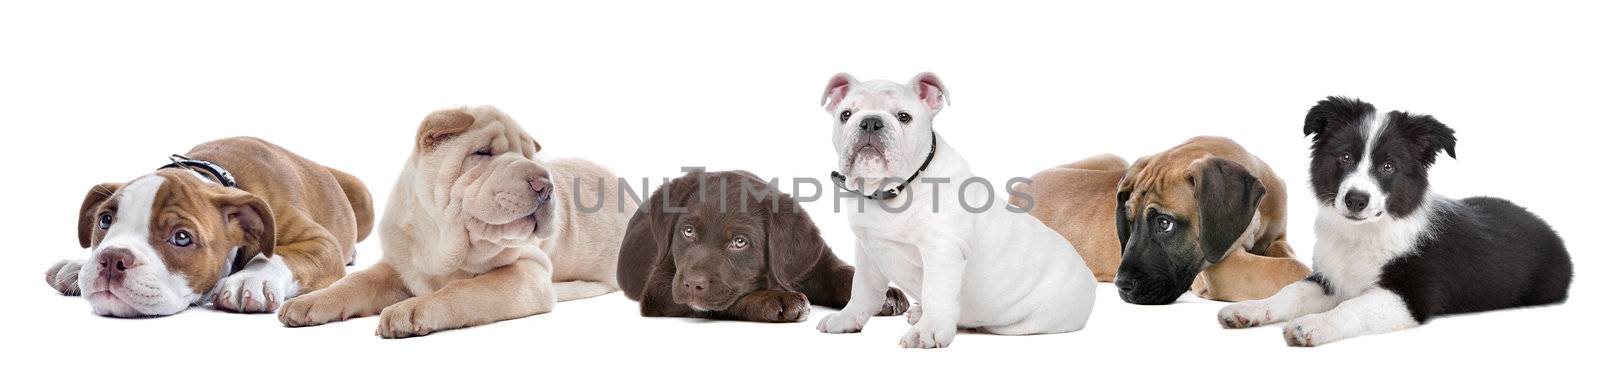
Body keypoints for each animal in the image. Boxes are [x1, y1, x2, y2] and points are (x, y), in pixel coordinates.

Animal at [46, 136, 374, 315]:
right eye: (104, 220)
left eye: (181, 238)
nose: (113, 258)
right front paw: (77, 266)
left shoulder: (321, 242)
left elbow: (278, 256)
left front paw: (251, 279)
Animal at [278, 105, 633, 337]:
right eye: (483, 153)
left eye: (531, 158)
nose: (544, 185)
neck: (444, 242)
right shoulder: (395, 266)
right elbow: (355, 282)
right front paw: (308, 302)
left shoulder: (527, 271)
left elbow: (465, 290)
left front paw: (412, 309)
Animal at [819, 72, 1094, 348]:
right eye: (845, 114)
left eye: (904, 117)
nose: (871, 122)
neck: (890, 190)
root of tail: (1089, 277)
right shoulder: (868, 250)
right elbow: (862, 288)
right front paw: (847, 319)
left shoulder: (942, 251)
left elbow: (936, 291)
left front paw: (928, 331)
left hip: (1029, 321)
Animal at [1017, 135, 1305, 305]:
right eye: (1128, 220)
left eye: (1164, 223)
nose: (1122, 285)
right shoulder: (1220, 269)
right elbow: (1289, 269)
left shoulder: (1276, 239)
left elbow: (1287, 257)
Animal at [1216, 96, 1568, 347]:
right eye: (1345, 157)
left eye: (1388, 166)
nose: (1356, 200)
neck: (1364, 233)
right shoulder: (1331, 278)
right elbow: (1291, 291)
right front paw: (1247, 310)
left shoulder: (1411, 296)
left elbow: (1352, 307)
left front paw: (1314, 324)